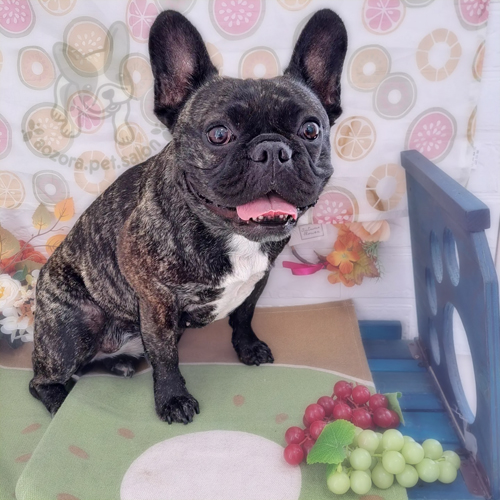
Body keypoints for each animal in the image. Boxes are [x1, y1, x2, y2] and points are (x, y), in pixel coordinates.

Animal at [30, 9, 348, 424]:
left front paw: (248, 347)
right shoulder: (156, 301)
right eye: (218, 134)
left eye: (310, 129)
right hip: (75, 325)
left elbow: (244, 316)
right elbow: (166, 357)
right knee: (42, 380)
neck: (231, 236)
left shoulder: (259, 280)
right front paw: (173, 399)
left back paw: (120, 364)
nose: (272, 150)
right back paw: (60, 401)